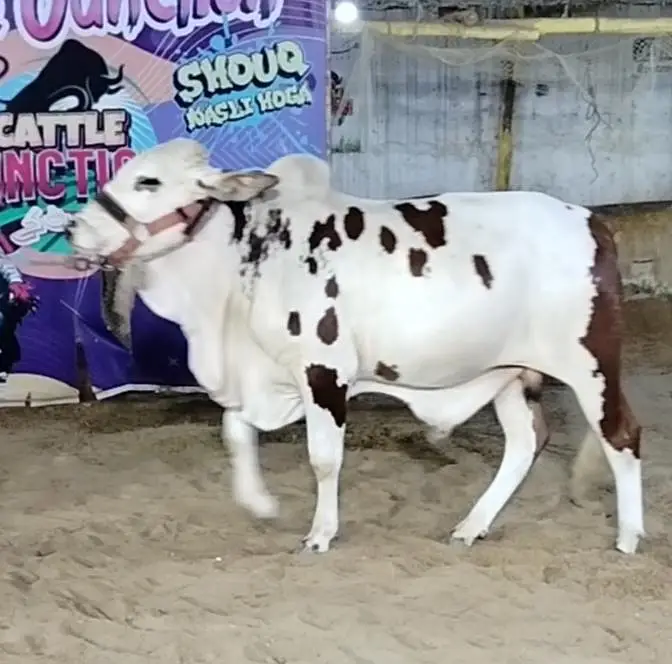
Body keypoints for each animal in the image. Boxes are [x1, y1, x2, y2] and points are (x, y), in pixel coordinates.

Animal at [66, 138, 644, 555]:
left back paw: (628, 536)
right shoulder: (266, 374)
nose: (75, 227)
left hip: (591, 364)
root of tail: (591, 220)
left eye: (149, 181)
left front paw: (320, 533)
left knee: (622, 436)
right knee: (525, 442)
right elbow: (235, 430)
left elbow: (323, 459)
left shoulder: (325, 371)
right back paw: (471, 525)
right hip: (510, 371)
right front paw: (259, 503)